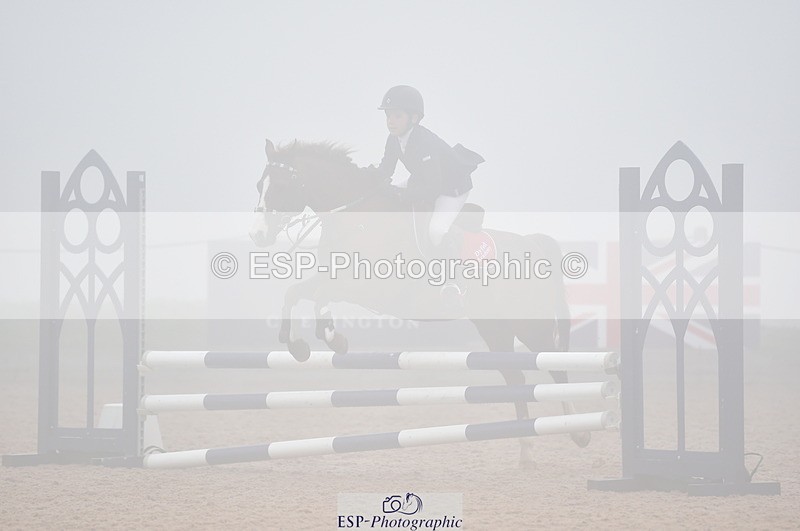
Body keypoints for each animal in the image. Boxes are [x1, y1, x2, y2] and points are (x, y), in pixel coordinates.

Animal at [249, 138, 589, 463]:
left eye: (281, 185)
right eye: (259, 185)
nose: (258, 235)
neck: (358, 221)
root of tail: (533, 243)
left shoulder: (368, 286)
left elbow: (320, 298)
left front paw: (334, 338)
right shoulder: (331, 276)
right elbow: (294, 293)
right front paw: (297, 345)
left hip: (529, 324)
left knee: (555, 365)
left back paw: (579, 434)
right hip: (494, 328)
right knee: (515, 376)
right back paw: (526, 447)